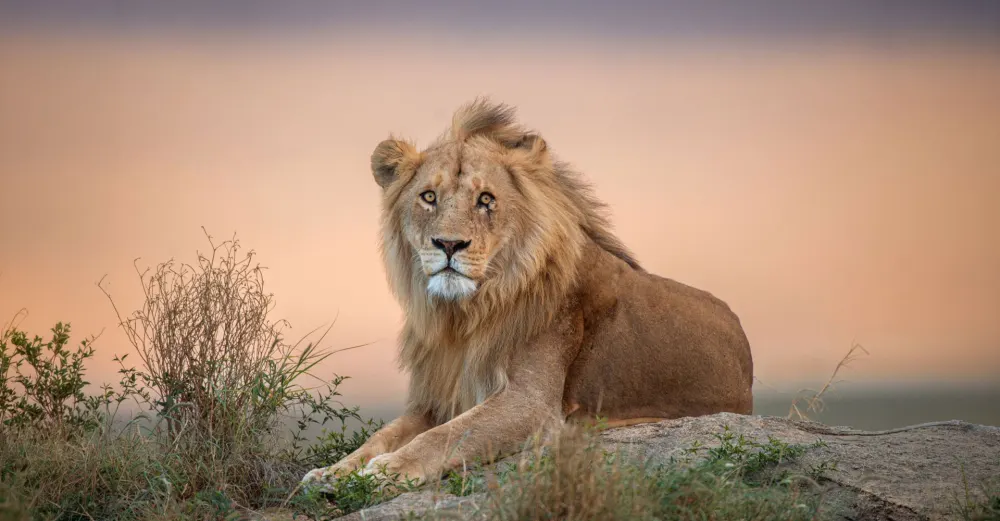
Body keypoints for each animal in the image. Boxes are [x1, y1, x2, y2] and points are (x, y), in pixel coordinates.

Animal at [301, 98, 754, 489]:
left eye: (486, 200)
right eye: (428, 196)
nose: (448, 244)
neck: (463, 316)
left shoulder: (532, 403)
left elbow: (449, 435)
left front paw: (385, 471)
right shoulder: (434, 400)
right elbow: (381, 436)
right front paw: (333, 472)